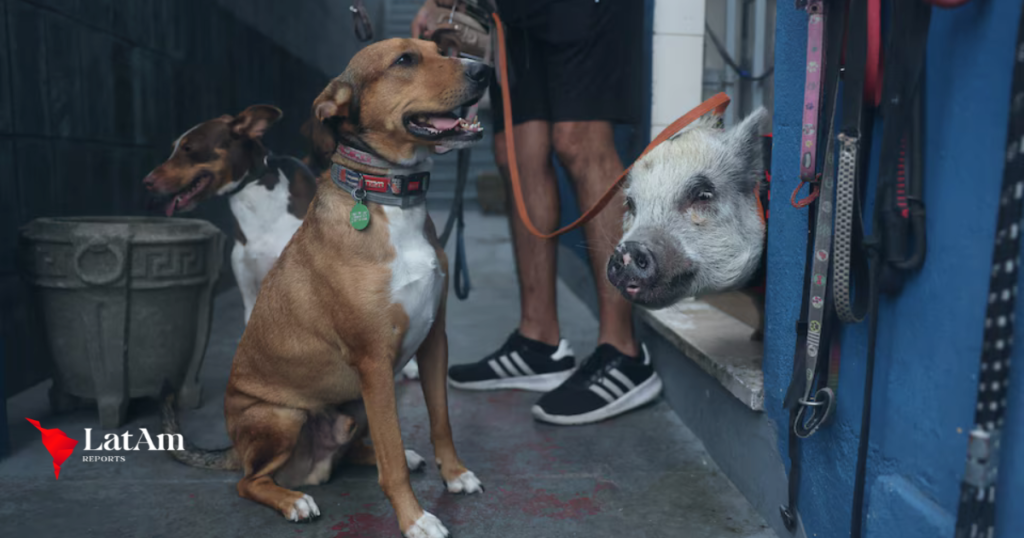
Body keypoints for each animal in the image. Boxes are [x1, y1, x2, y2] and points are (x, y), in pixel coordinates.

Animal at [161, 38, 489, 536]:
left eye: (441, 49)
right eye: (405, 60)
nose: (485, 70)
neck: (390, 199)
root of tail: (235, 448)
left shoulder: (435, 341)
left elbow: (440, 421)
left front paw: (455, 475)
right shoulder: (374, 362)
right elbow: (391, 460)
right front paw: (414, 519)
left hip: (353, 408)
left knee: (351, 454)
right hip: (283, 415)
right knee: (250, 482)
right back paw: (293, 500)